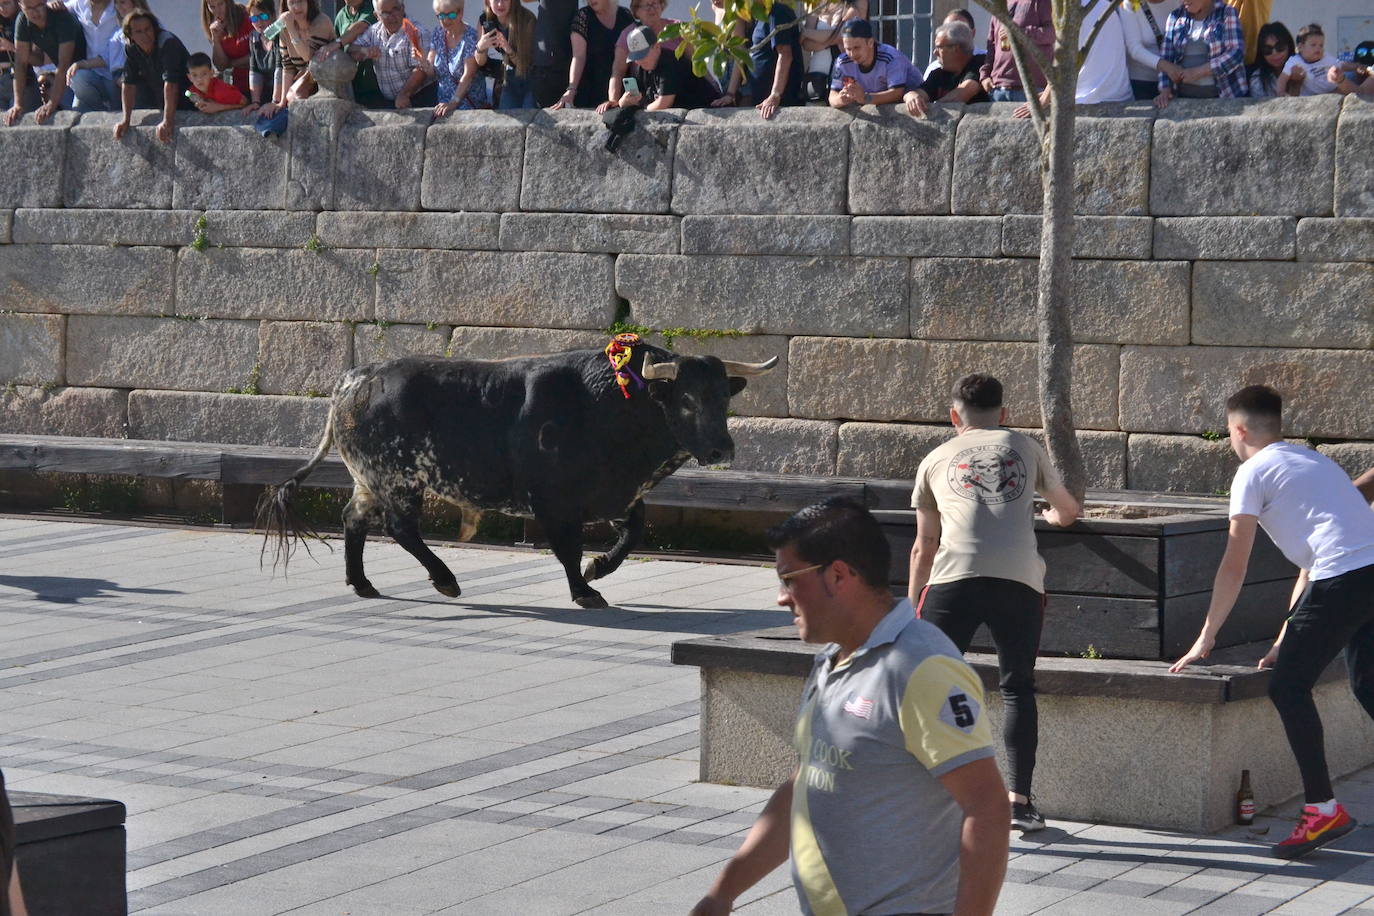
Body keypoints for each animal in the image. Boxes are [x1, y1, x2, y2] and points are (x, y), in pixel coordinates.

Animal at [258, 343, 774, 609]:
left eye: (723, 398)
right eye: (686, 400)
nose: (721, 448)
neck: (606, 405)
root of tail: (354, 379)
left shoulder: (615, 496)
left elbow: (634, 533)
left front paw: (599, 568)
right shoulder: (554, 500)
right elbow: (568, 550)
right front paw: (584, 590)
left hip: (368, 478)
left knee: (354, 519)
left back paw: (362, 583)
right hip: (397, 479)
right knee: (400, 527)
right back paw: (445, 579)